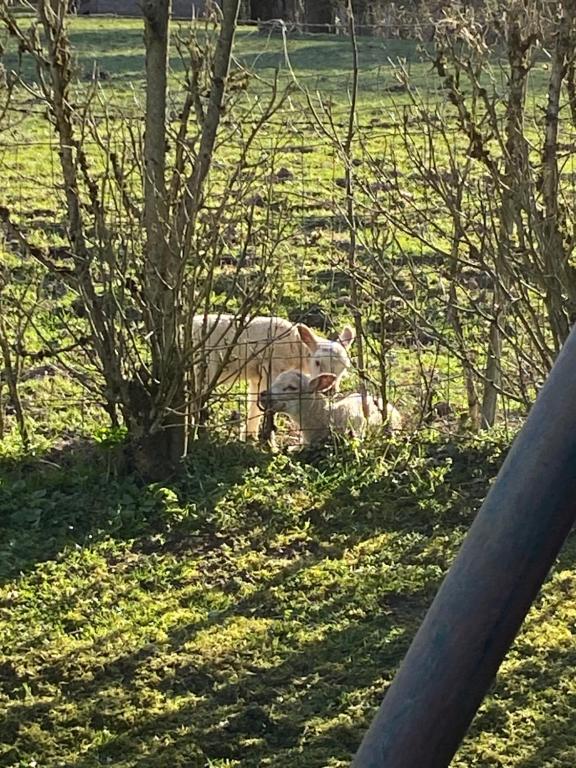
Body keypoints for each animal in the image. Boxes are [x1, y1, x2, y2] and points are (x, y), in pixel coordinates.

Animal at [191, 312, 354, 438]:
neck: (296, 347)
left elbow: (254, 404)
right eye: (317, 362)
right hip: (204, 368)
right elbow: (268, 406)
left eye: (344, 368)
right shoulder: (271, 368)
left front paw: (249, 436)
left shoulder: (256, 375)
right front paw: (267, 437)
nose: (330, 391)